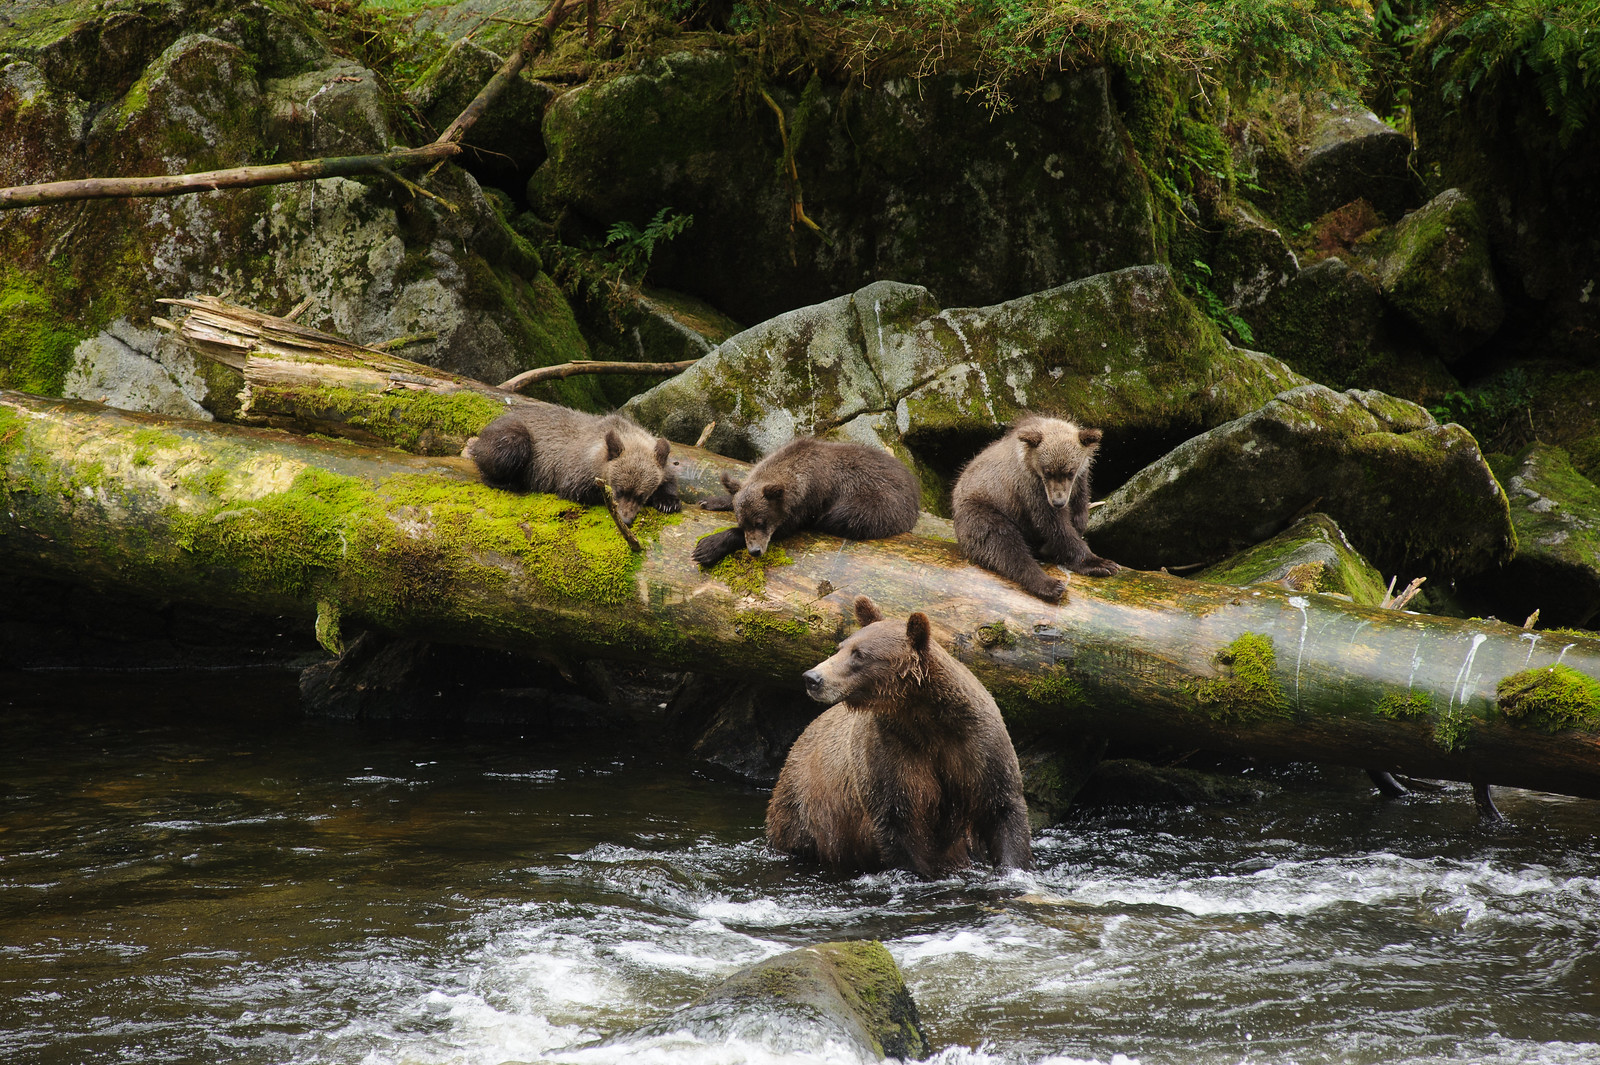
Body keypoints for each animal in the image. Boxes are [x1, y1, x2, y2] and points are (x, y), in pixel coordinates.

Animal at [470, 402, 678, 521]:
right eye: (619, 490)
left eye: (642, 495)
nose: (625, 519)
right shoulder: (575, 471)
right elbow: (578, 490)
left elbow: (668, 480)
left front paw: (668, 502)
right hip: (512, 437)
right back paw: (507, 482)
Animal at [691, 434, 928, 569]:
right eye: (743, 522)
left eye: (761, 522)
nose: (755, 551)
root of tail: (915, 486)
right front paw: (711, 500)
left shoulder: (809, 502)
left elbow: (787, 527)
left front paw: (708, 547)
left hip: (879, 504)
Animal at [764, 591, 1036, 876]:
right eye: (841, 647)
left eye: (859, 654)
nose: (813, 678)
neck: (924, 716)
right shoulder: (891, 753)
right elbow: (898, 822)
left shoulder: (978, 747)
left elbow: (1004, 809)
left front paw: (1012, 866)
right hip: (803, 806)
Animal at [953, 412, 1120, 601]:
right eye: (1047, 471)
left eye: (1070, 472)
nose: (1058, 502)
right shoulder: (1031, 489)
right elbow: (1055, 525)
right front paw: (1101, 563)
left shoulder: (1080, 481)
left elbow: (1079, 511)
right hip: (982, 510)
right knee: (1004, 545)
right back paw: (1050, 585)